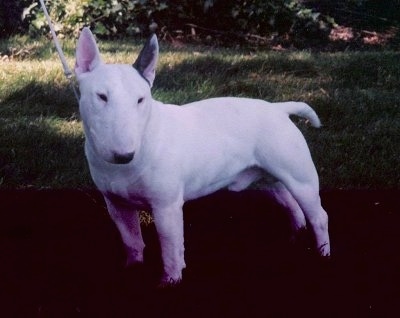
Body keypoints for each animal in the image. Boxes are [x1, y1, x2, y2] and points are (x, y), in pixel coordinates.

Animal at [74, 27, 328, 286]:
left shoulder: (167, 208)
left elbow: (171, 251)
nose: (124, 155)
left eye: (140, 99)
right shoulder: (117, 205)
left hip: (301, 179)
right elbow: (132, 242)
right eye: (101, 96)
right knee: (291, 204)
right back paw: (296, 236)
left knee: (319, 215)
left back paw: (323, 253)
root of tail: (278, 109)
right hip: (270, 179)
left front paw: (170, 281)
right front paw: (132, 269)